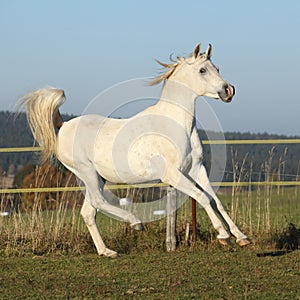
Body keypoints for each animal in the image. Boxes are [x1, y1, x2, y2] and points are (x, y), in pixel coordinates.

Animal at [19, 43, 251, 256]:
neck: (176, 123)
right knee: (98, 202)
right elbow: (201, 197)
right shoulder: (172, 175)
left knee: (88, 212)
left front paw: (241, 237)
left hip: (97, 177)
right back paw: (135, 222)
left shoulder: (195, 169)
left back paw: (107, 251)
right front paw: (223, 235)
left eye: (217, 68)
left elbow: (215, 200)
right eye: (202, 70)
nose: (229, 90)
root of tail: (65, 126)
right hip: (87, 172)